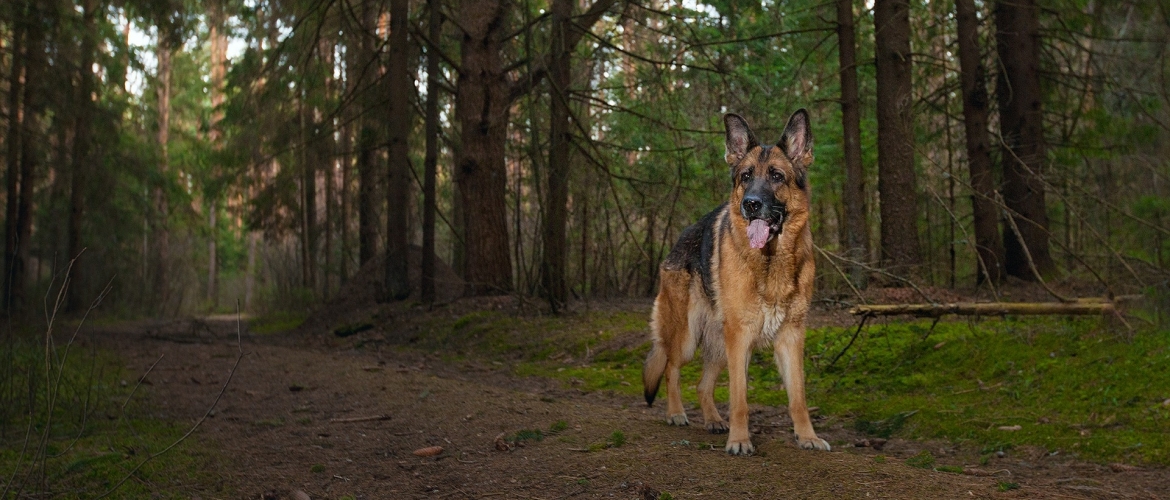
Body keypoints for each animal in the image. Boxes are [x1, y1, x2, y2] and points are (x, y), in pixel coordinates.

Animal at [645, 111, 828, 456]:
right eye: (745, 176)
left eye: (776, 176)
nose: (751, 204)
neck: (770, 262)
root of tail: (680, 238)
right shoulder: (740, 337)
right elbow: (739, 398)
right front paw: (740, 440)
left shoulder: (791, 337)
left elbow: (798, 397)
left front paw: (807, 436)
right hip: (688, 336)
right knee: (672, 369)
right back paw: (676, 413)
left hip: (719, 344)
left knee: (703, 385)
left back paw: (714, 420)